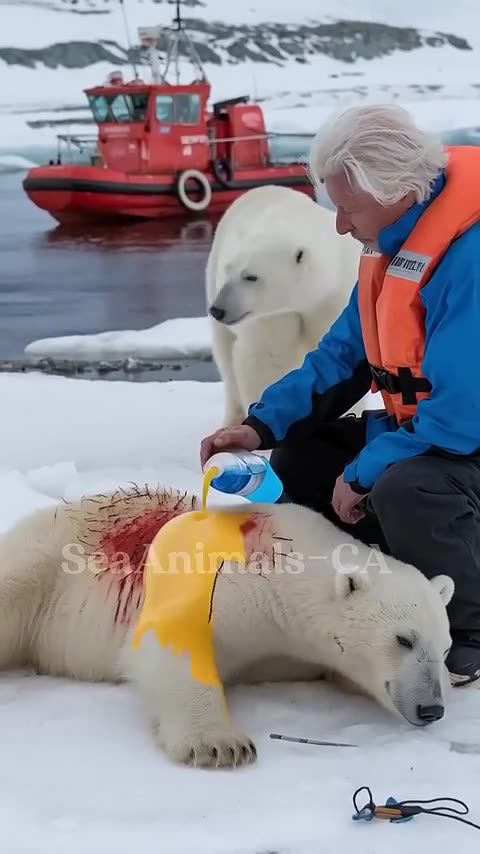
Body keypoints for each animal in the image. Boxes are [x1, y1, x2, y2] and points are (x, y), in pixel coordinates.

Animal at [0, 484, 454, 769]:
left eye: (445, 648)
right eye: (404, 638)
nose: (432, 708)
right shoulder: (220, 583)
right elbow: (173, 643)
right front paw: (219, 745)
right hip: (46, 559)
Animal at [205, 184, 364, 427]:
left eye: (251, 276)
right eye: (228, 269)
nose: (218, 310)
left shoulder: (336, 297)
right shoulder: (270, 316)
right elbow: (267, 360)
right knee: (226, 360)